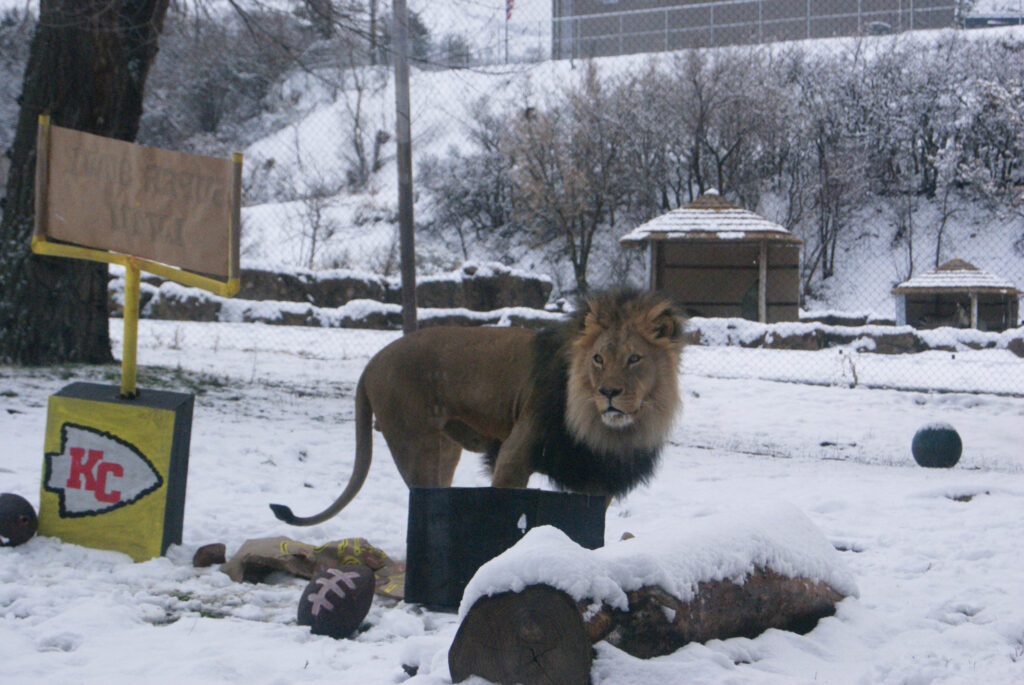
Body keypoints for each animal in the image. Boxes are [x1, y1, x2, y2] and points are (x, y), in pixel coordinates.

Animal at [270, 290, 685, 526]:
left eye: (634, 359)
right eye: (598, 359)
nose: (608, 392)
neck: (605, 429)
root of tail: (372, 362)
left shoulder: (599, 478)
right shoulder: (516, 452)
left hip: (444, 449)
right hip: (414, 444)